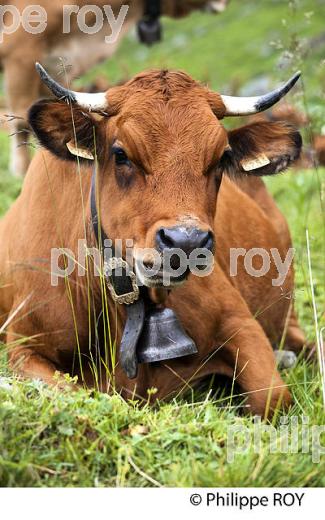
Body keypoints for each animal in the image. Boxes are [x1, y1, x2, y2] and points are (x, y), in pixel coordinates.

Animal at [0, 65, 306, 416]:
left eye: (221, 159)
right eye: (121, 154)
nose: (186, 242)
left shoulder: (240, 322)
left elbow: (271, 397)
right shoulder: (25, 345)